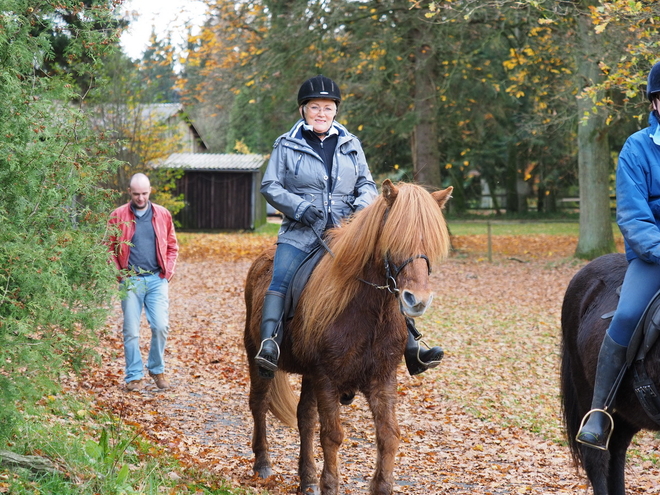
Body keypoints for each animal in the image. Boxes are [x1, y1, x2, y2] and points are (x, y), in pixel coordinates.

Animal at [242, 181, 454, 495]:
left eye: (431, 242)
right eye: (394, 240)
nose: (418, 300)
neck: (368, 313)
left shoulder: (382, 378)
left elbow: (388, 434)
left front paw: (381, 486)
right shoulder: (327, 378)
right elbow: (332, 435)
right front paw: (330, 485)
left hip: (310, 376)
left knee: (305, 418)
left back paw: (307, 479)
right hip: (258, 357)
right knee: (259, 403)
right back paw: (263, 464)